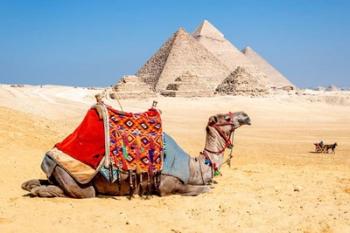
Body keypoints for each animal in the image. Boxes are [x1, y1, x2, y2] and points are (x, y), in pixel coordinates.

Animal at [21, 110, 250, 198]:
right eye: (224, 117)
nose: (246, 116)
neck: (194, 167)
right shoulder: (166, 184)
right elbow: (203, 189)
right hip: (76, 177)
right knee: (87, 192)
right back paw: (38, 191)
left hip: (57, 171)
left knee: (42, 180)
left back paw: (31, 185)